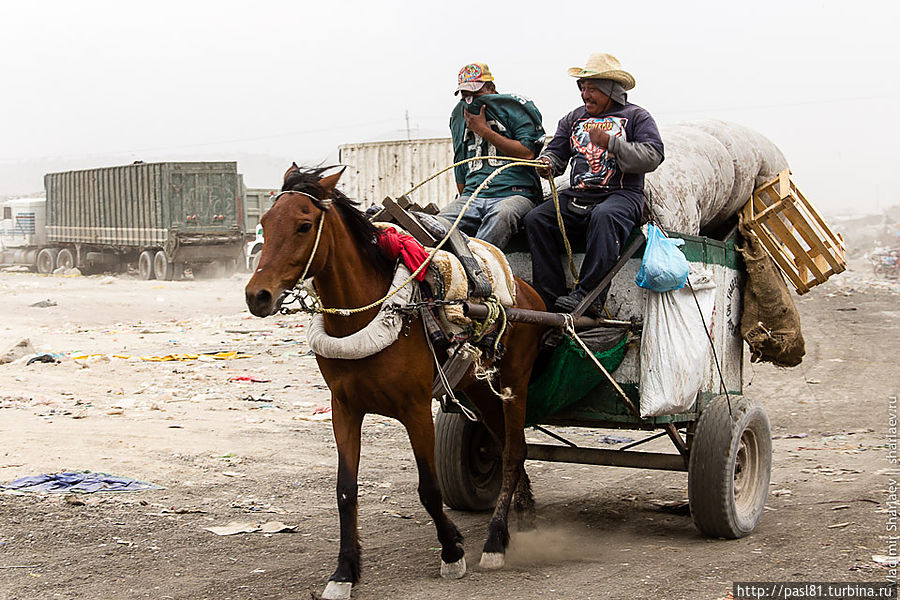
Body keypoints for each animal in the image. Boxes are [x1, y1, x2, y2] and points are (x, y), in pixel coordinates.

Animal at [243, 165, 544, 600]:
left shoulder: (415, 408)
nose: (257, 296)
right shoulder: (344, 408)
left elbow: (429, 489)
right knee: (507, 446)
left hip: (514, 383)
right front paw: (344, 572)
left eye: (303, 225)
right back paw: (525, 514)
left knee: (513, 452)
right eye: (265, 223)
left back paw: (495, 541)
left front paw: (452, 552)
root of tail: (530, 293)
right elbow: (345, 491)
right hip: (475, 386)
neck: (365, 314)